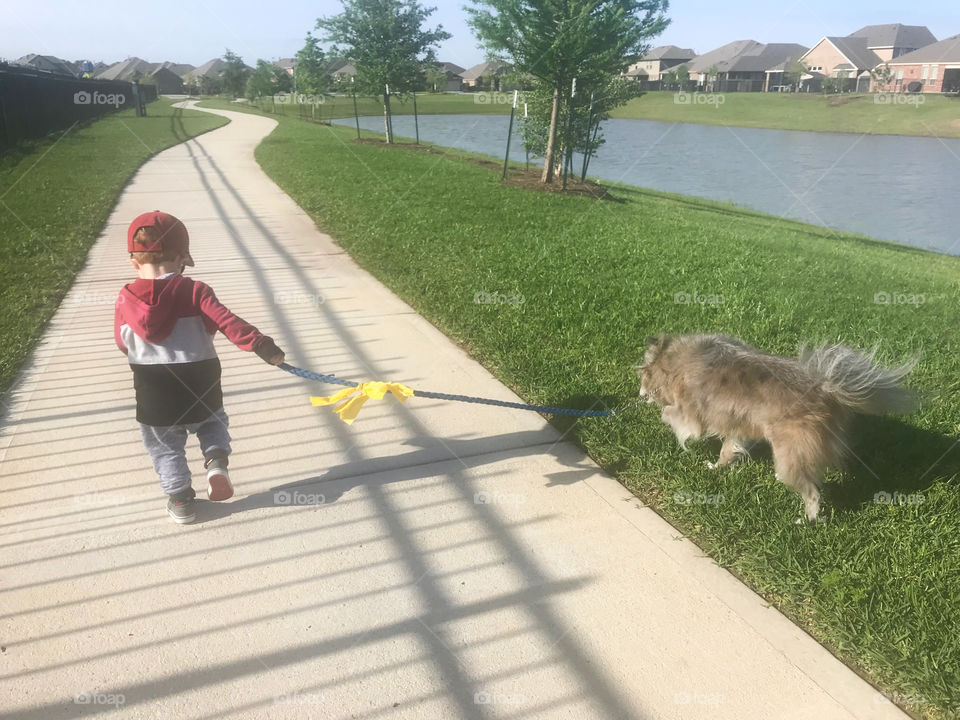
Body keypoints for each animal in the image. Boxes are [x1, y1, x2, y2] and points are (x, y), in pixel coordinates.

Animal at [636, 334, 916, 520]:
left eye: (642, 378)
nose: (639, 395)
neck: (674, 362)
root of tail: (827, 388)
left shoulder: (692, 416)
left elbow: (672, 415)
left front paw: (668, 421)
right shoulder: (739, 427)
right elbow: (729, 450)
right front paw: (717, 467)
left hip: (789, 458)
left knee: (812, 492)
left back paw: (807, 520)